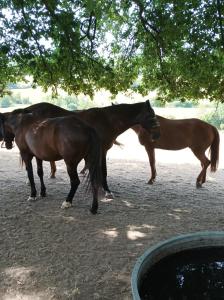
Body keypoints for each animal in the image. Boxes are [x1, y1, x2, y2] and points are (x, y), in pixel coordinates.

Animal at [0, 101, 160, 198]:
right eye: (151, 116)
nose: (157, 136)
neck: (107, 120)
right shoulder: (101, 151)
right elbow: (103, 171)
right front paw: (106, 191)